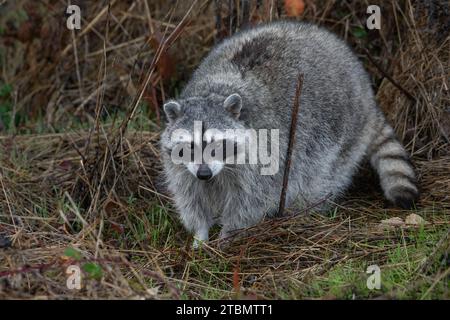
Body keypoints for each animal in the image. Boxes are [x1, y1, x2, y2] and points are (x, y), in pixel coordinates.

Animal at [159, 21, 418, 248]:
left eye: (218, 144)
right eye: (190, 146)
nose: (204, 174)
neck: (214, 90)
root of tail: (367, 92)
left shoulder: (265, 157)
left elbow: (249, 202)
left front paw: (228, 235)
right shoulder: (182, 168)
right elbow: (191, 198)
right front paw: (200, 235)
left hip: (344, 131)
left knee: (319, 177)